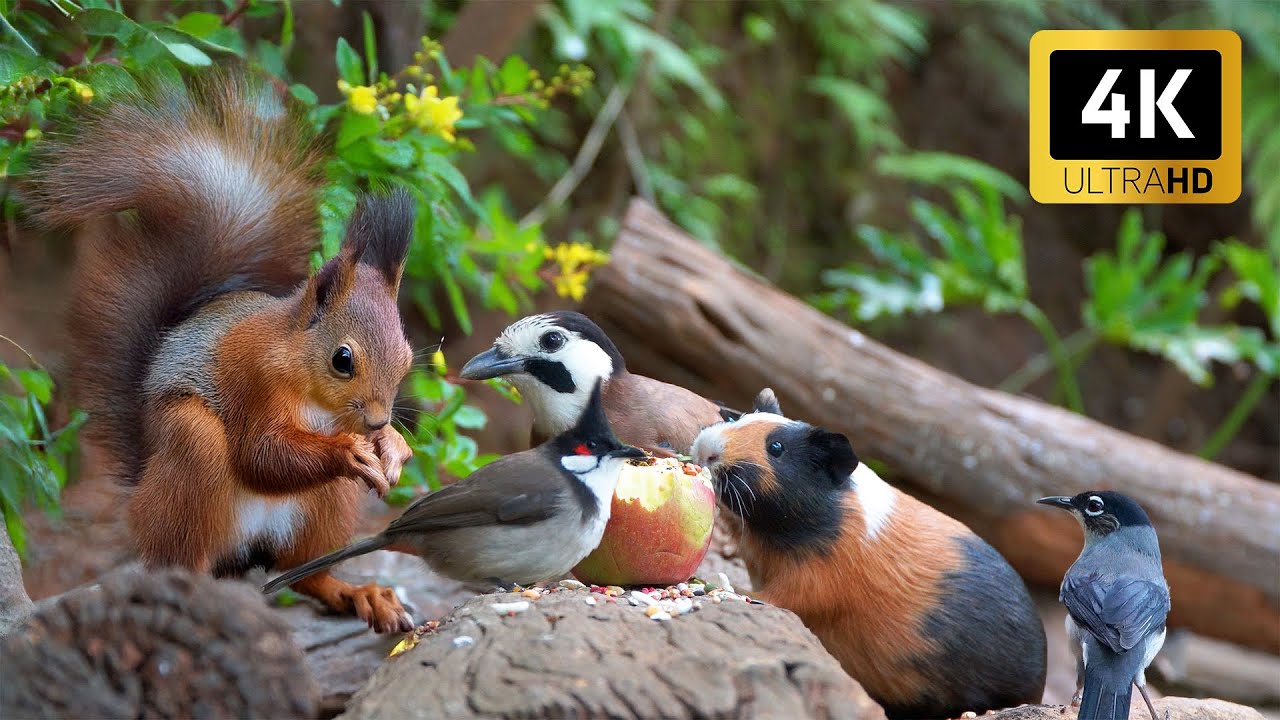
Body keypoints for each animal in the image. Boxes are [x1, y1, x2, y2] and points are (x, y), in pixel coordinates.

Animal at [26, 72, 417, 633]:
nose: (378, 420)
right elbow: (261, 455)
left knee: (304, 573)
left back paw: (356, 592)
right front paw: (349, 451)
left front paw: (393, 447)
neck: (299, 369)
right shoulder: (251, 380)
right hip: (190, 450)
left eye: (407, 357)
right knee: (184, 549)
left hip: (325, 506)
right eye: (343, 360)